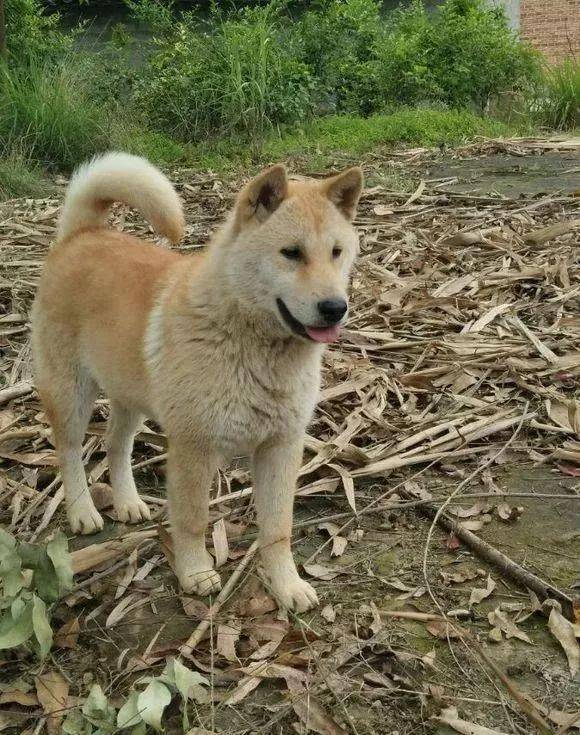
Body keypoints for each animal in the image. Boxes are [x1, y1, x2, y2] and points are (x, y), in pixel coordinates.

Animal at [31, 155, 362, 616]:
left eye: (336, 252)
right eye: (291, 253)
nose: (335, 308)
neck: (250, 345)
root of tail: (82, 235)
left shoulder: (282, 447)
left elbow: (277, 529)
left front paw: (287, 585)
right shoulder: (194, 448)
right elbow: (191, 521)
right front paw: (195, 573)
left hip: (130, 398)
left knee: (117, 447)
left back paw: (128, 502)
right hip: (71, 395)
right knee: (69, 453)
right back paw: (83, 512)